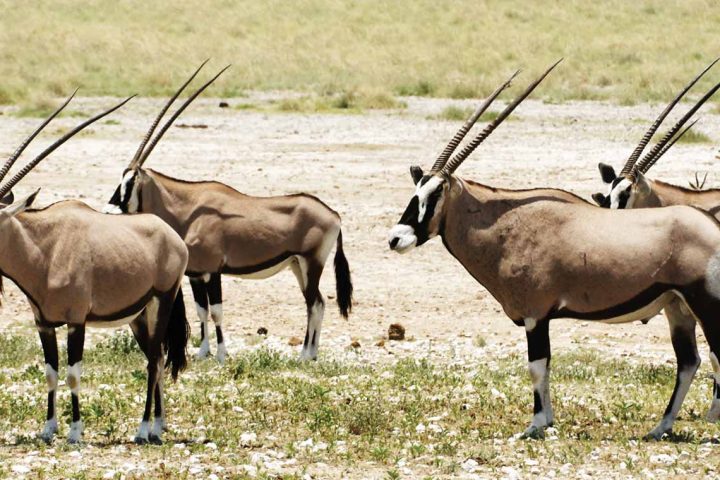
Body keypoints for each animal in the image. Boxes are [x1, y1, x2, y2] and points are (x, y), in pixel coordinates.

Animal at [0, 95, 190, 444]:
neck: (43, 247)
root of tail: (172, 236)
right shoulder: (43, 324)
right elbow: (51, 373)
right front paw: (48, 429)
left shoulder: (77, 321)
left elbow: (73, 374)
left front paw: (75, 432)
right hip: (139, 316)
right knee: (155, 357)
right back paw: (158, 426)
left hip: (162, 301)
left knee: (153, 362)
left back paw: (143, 430)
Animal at [105, 64, 354, 364]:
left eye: (129, 183)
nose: (108, 209)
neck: (187, 211)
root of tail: (334, 214)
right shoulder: (195, 274)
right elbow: (201, 310)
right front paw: (203, 352)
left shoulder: (213, 271)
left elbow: (216, 311)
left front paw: (222, 354)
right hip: (297, 265)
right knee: (318, 303)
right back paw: (312, 352)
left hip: (311, 263)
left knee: (313, 303)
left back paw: (305, 354)